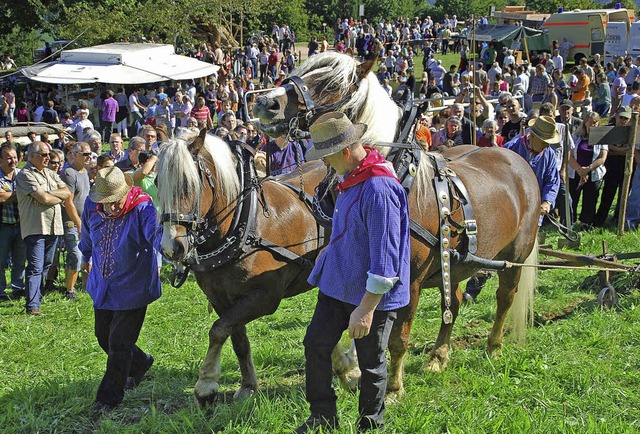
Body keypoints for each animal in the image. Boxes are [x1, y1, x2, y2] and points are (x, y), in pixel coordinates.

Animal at [252, 51, 544, 396]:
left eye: (331, 84)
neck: (388, 174)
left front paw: (392, 388)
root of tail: (517, 159)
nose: (265, 102)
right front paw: (350, 369)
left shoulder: (410, 279)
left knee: (504, 298)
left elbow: (397, 338)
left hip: (515, 257)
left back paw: (494, 347)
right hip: (453, 264)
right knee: (454, 303)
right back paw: (438, 356)